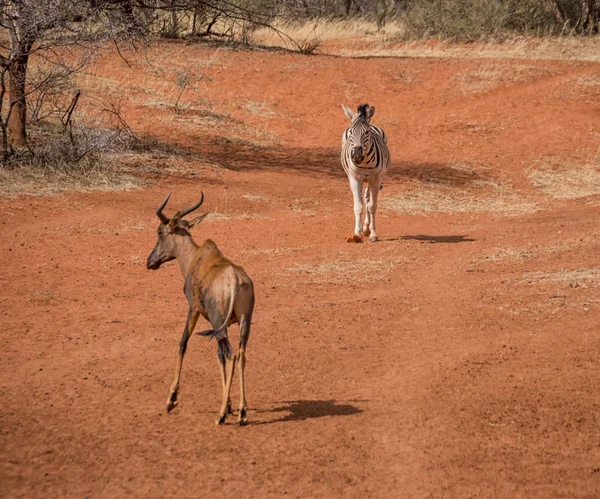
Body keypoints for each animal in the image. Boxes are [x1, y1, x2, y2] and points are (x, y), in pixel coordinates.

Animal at [149, 191, 256, 426]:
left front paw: (171, 400)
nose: (150, 262)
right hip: (243, 322)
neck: (196, 257)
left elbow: (182, 343)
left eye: (160, 232)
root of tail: (234, 279)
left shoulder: (194, 310)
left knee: (231, 355)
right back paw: (243, 413)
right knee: (240, 355)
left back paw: (221, 415)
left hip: (218, 323)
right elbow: (218, 356)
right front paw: (231, 405)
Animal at [342, 102, 390, 243]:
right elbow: (358, 207)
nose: (356, 155)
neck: (364, 163)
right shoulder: (355, 179)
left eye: (367, 132)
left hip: (371, 180)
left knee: (368, 199)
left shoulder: (376, 179)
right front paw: (357, 234)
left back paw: (367, 228)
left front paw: (373, 233)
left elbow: (372, 206)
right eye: (351, 131)